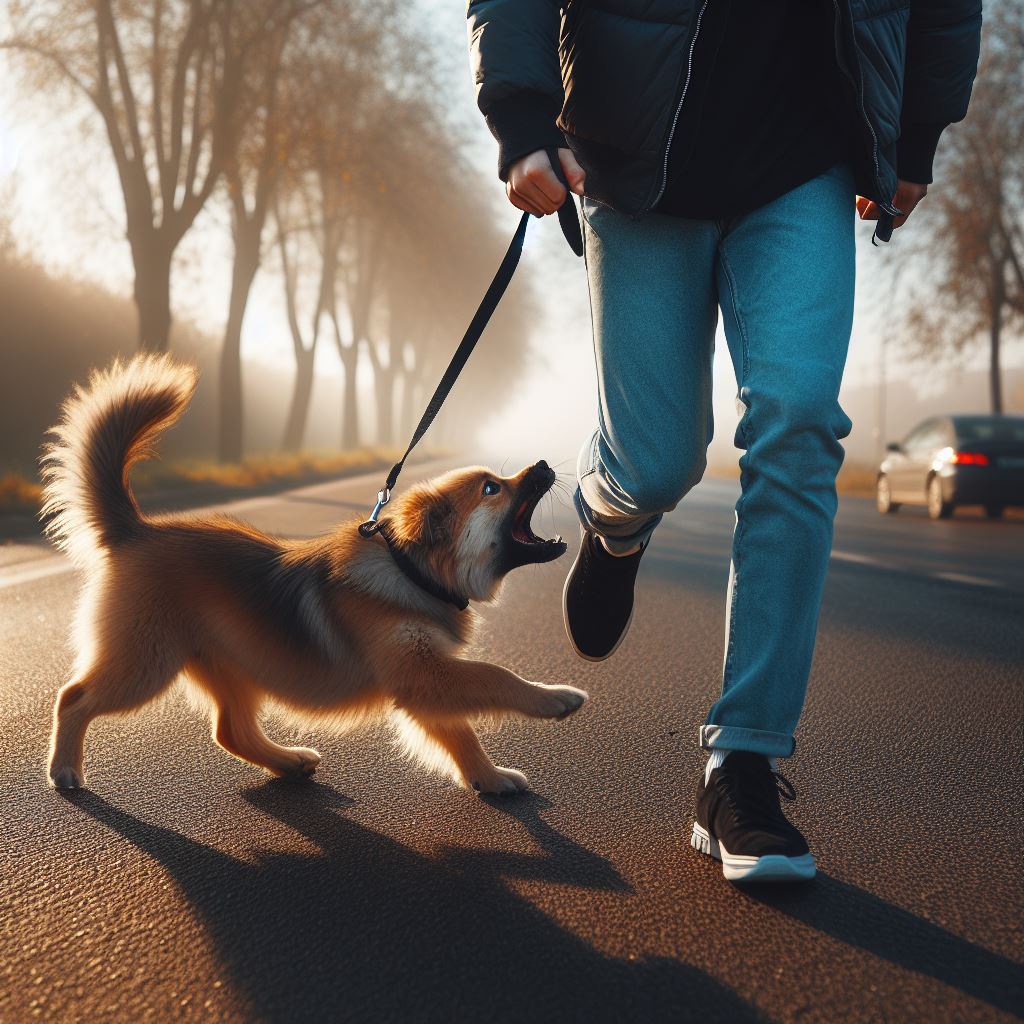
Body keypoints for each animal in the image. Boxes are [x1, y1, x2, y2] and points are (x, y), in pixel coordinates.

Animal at [41, 356, 585, 794]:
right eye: (492, 487)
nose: (541, 463)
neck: (409, 571)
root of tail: (135, 529)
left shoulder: (423, 682)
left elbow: (462, 734)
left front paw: (489, 779)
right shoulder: (423, 672)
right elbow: (495, 676)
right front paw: (553, 698)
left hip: (231, 663)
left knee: (231, 732)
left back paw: (287, 762)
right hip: (146, 661)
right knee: (72, 698)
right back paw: (64, 770)